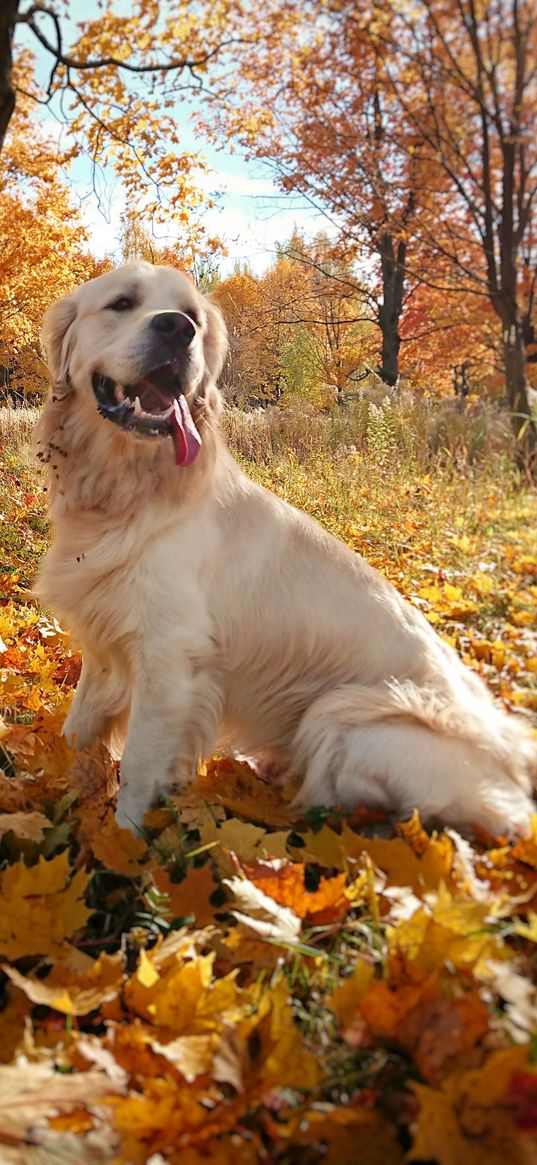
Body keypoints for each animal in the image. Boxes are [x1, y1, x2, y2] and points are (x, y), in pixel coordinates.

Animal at [35, 259, 533, 834]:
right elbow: (77, 732)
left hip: (341, 714)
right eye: (121, 303)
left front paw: (124, 845)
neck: (128, 490)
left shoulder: (170, 665)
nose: (178, 331)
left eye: (192, 317)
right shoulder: (105, 643)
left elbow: (137, 771)